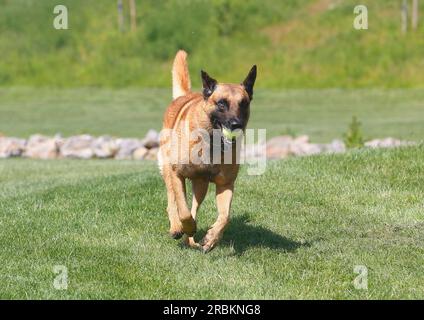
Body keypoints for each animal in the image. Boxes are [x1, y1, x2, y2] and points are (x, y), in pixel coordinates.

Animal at [158, 50, 255, 252]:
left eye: (243, 103)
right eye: (221, 104)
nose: (236, 124)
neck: (211, 143)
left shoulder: (225, 184)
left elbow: (224, 216)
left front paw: (211, 238)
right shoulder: (177, 174)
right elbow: (183, 210)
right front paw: (186, 226)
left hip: (200, 186)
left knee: (195, 206)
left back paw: (191, 240)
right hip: (168, 171)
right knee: (172, 202)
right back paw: (177, 228)